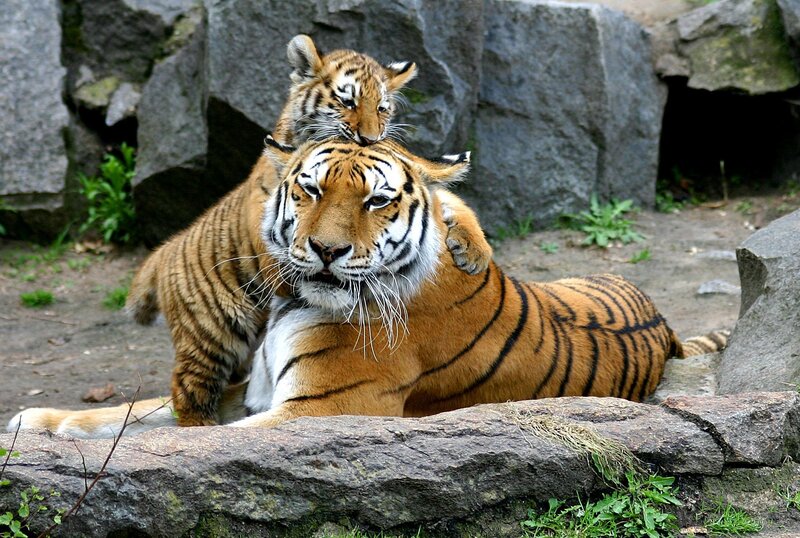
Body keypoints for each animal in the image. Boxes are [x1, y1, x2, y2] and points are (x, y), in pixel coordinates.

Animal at [8, 137, 728, 438]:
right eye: (310, 188)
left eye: (378, 201)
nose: (326, 251)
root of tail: (665, 325)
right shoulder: (248, 391)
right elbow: (132, 411)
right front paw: (34, 423)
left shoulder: (318, 409)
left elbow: (184, 440)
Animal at [123, 35, 493, 427]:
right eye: (348, 101)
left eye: (382, 108)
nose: (369, 138)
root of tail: (165, 250)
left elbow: (449, 199)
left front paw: (474, 252)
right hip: (210, 335)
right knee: (189, 390)